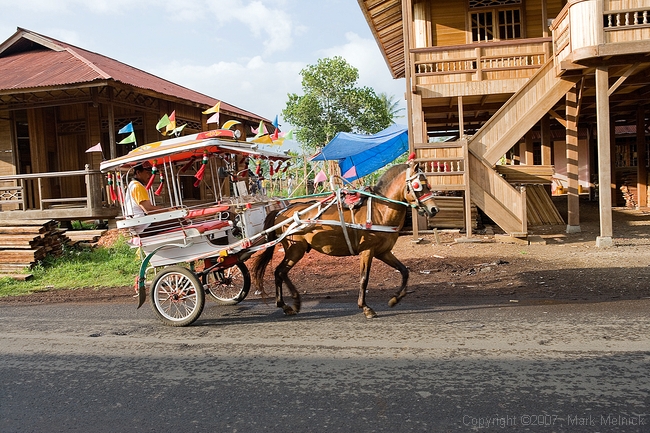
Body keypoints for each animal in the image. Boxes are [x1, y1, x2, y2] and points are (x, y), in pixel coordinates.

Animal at [251, 156, 438, 318]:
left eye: (428, 184)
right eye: (419, 185)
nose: (434, 209)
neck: (378, 210)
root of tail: (281, 211)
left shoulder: (383, 252)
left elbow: (404, 271)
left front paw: (395, 299)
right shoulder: (367, 251)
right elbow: (364, 279)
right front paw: (365, 307)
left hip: (296, 250)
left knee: (281, 272)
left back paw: (292, 303)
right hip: (295, 248)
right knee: (279, 271)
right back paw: (286, 304)